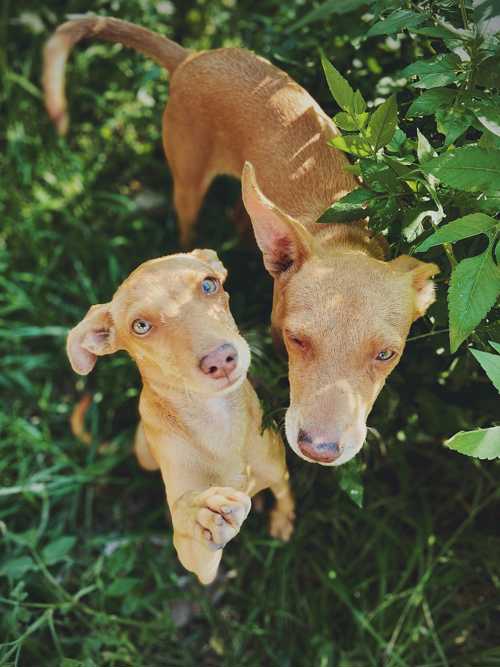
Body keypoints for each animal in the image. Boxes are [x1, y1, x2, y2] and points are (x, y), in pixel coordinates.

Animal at [45, 15, 440, 464]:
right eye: (296, 339)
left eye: (386, 355)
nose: (319, 450)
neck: (343, 236)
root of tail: (192, 56)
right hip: (187, 179)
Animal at [66, 250, 292, 584]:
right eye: (141, 326)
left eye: (209, 285)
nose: (220, 360)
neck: (215, 422)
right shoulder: (198, 565)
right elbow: (193, 541)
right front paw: (201, 518)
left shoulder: (279, 473)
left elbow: (285, 496)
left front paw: (283, 520)